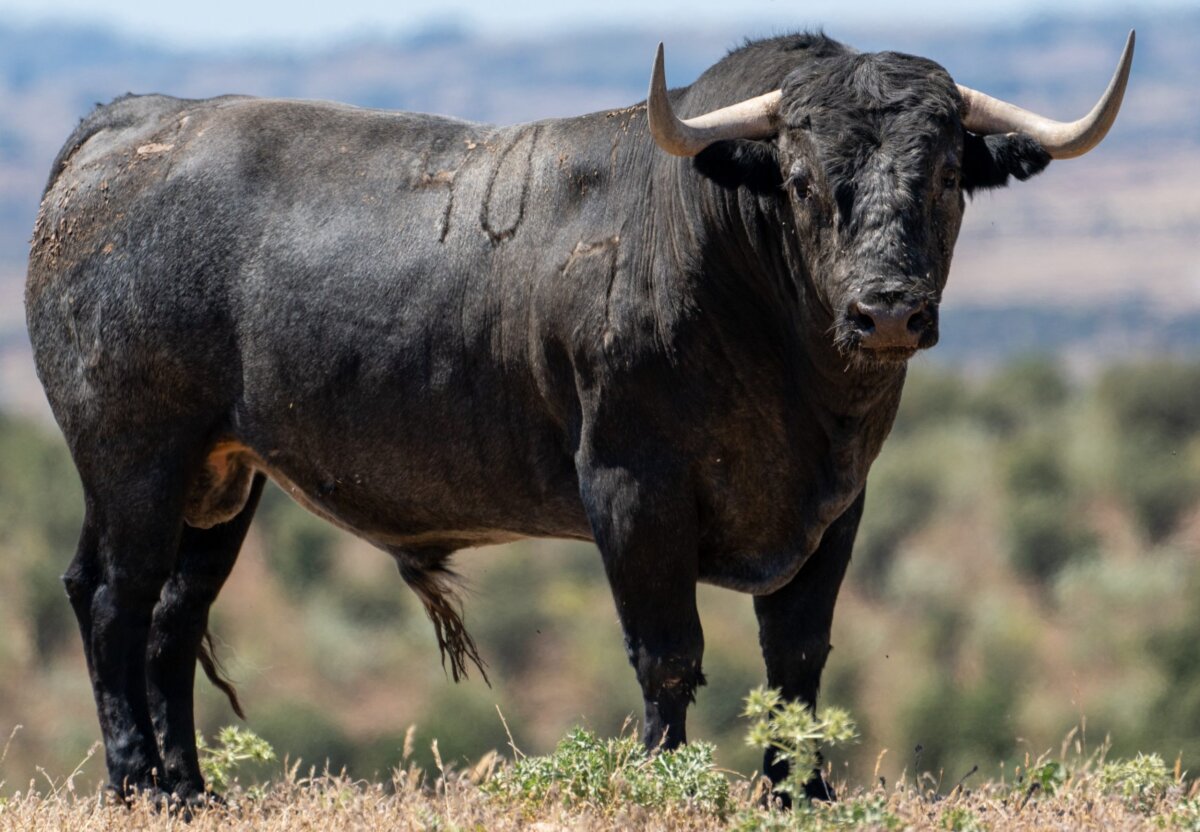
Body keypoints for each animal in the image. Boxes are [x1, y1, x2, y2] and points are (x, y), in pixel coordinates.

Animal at [25, 29, 1133, 806]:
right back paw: (136, 785)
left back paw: (191, 791)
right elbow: (668, 653)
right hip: (134, 459)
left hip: (222, 481)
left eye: (946, 175)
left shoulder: (834, 508)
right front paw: (666, 782)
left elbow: (797, 662)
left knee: (174, 618)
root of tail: (126, 124)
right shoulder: (631, 488)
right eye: (805, 178)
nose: (888, 309)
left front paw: (802, 792)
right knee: (112, 600)